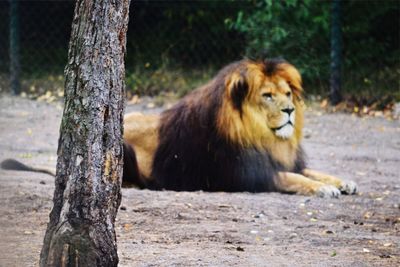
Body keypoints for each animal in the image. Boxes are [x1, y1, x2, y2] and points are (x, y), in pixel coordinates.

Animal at [123, 58, 358, 198]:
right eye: (267, 96)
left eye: (288, 94)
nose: (290, 110)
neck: (264, 137)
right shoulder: (249, 173)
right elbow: (294, 178)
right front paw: (323, 188)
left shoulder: (281, 161)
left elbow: (312, 171)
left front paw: (343, 182)